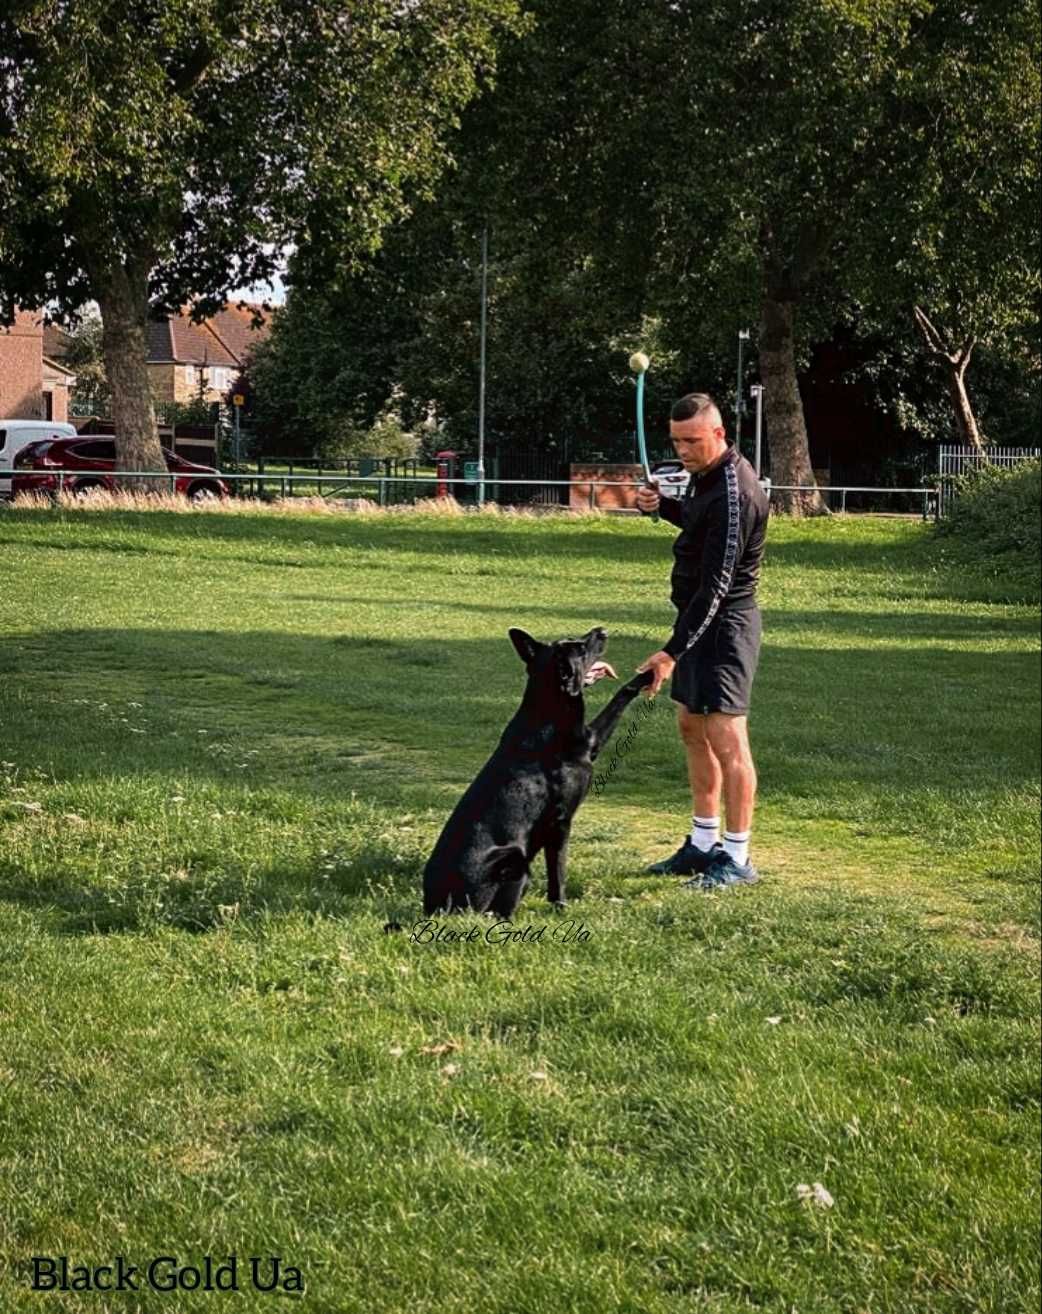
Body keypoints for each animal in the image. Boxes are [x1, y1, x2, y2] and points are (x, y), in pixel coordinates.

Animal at [420, 628, 651, 919]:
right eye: (581, 648)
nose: (603, 631)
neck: (547, 709)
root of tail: (435, 907)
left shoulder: (591, 742)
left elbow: (621, 693)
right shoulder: (560, 822)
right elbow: (558, 872)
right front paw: (561, 907)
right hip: (514, 859)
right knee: (495, 915)